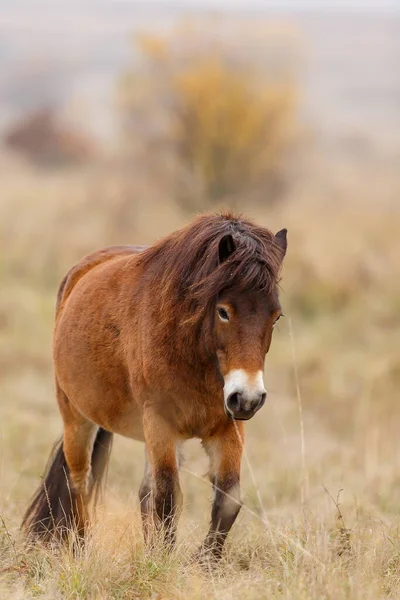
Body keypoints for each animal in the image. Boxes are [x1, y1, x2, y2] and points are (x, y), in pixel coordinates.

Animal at [21, 211, 286, 556]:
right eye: (224, 311)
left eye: (276, 316)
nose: (248, 398)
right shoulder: (160, 423)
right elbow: (167, 497)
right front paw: (164, 560)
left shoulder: (227, 428)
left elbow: (227, 499)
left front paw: (203, 561)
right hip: (77, 418)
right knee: (79, 481)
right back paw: (81, 548)